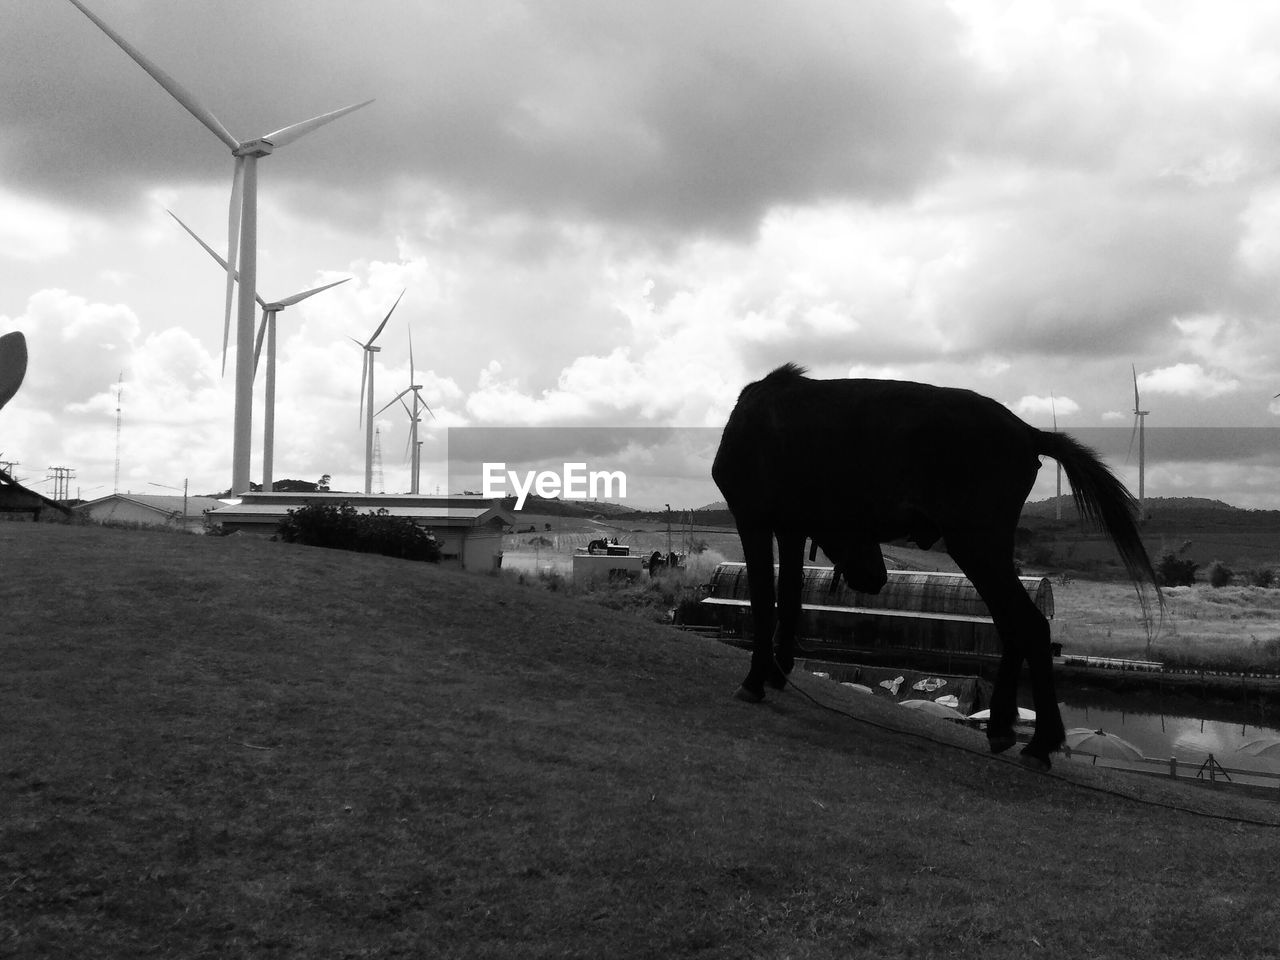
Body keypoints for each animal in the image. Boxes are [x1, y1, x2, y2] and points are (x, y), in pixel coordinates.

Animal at [711, 363, 1162, 773]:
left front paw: (755, 679)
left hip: (974, 542)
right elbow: (789, 598)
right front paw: (777, 672)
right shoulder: (789, 527)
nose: (877, 578)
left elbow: (764, 600)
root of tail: (1025, 429)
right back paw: (1003, 725)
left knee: (1029, 624)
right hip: (985, 547)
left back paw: (1040, 743)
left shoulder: (751, 516)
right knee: (1012, 625)